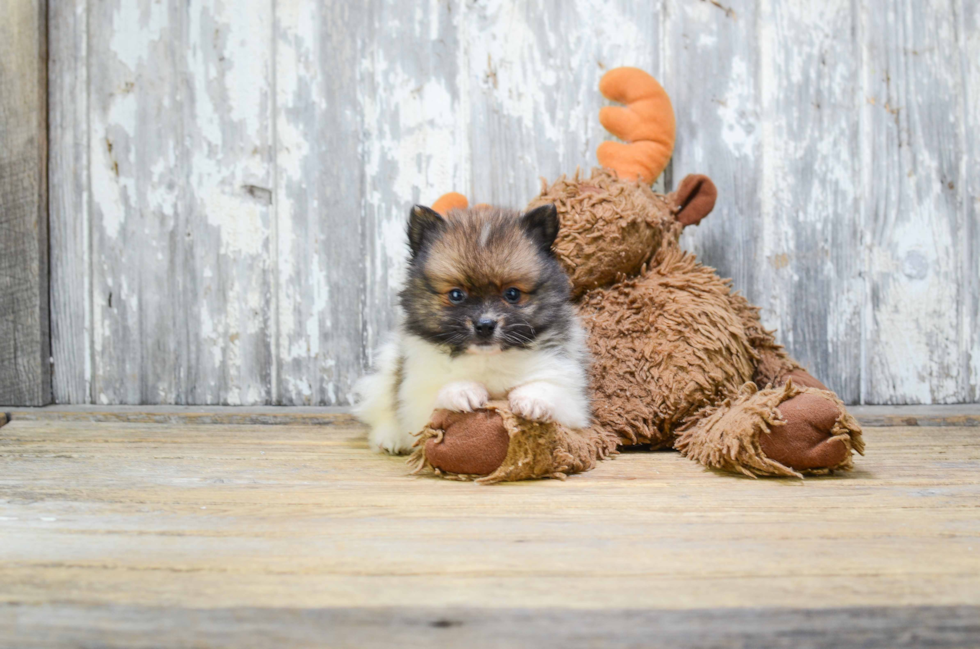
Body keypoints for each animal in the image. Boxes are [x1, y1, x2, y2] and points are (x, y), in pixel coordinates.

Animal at [358, 201, 592, 450]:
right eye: (456, 295)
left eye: (512, 294)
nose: (485, 325)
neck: (487, 358)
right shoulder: (416, 396)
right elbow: (435, 398)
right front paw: (462, 390)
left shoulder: (572, 397)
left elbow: (551, 390)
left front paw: (533, 399)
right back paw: (389, 438)